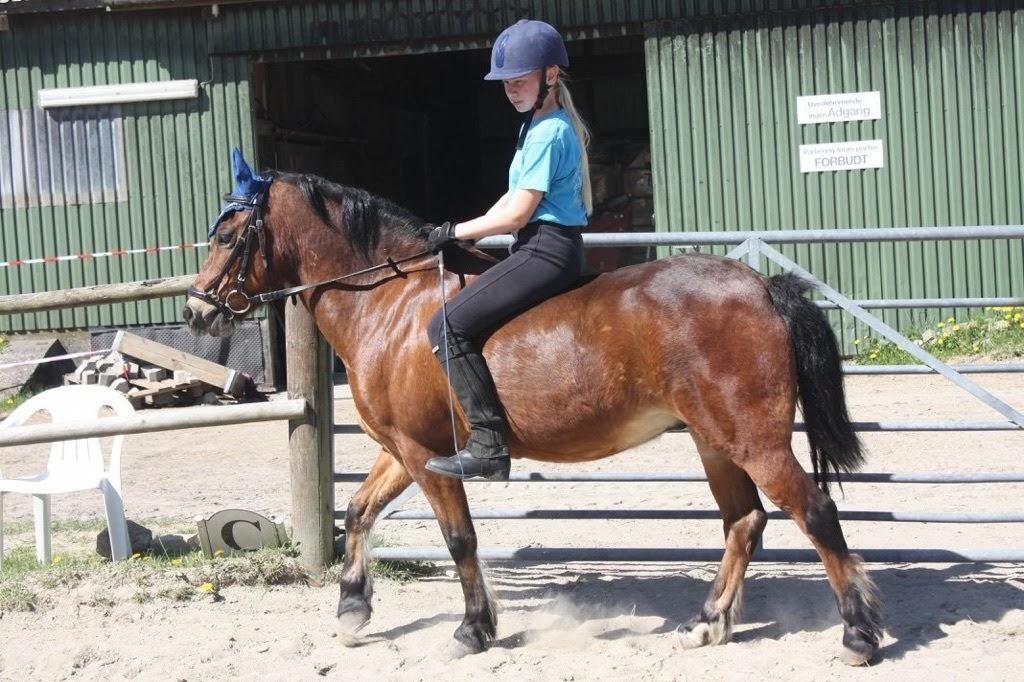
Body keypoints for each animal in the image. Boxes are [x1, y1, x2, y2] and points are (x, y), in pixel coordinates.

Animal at [186, 171, 888, 663]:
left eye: (226, 237)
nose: (196, 313)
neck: (393, 303)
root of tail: (763, 287)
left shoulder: (426, 456)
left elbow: (460, 538)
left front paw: (472, 630)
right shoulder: (402, 448)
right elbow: (358, 513)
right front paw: (352, 612)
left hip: (752, 439)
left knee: (814, 512)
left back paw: (857, 636)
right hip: (715, 442)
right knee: (744, 522)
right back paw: (706, 625)